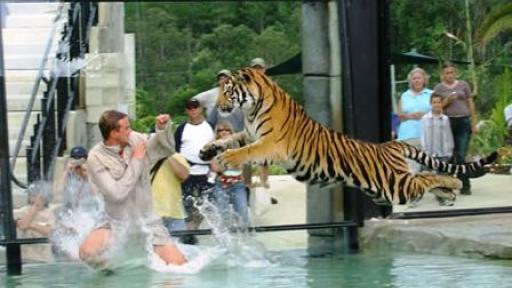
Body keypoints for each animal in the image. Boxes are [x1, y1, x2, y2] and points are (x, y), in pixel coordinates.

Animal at [198, 66, 498, 206]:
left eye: (228, 91)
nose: (218, 106)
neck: (251, 109)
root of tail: (391, 143)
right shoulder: (249, 133)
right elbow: (230, 139)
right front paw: (208, 150)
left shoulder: (270, 144)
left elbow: (245, 151)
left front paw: (226, 159)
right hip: (389, 189)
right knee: (426, 179)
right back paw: (449, 193)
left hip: (395, 185)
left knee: (427, 176)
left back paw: (455, 185)